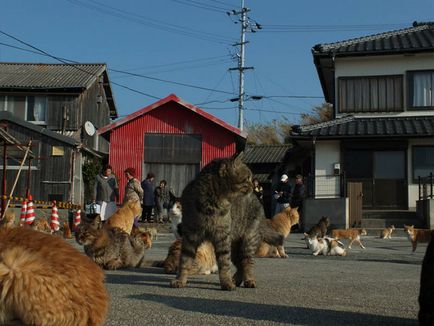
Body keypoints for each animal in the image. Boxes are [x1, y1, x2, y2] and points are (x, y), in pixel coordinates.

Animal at [170, 154, 260, 292]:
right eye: (247, 178)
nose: (253, 186)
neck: (212, 203)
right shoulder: (190, 235)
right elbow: (185, 261)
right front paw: (180, 280)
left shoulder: (222, 237)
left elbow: (224, 264)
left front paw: (226, 282)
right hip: (234, 246)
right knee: (240, 264)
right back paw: (236, 280)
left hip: (248, 241)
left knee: (247, 262)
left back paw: (248, 280)